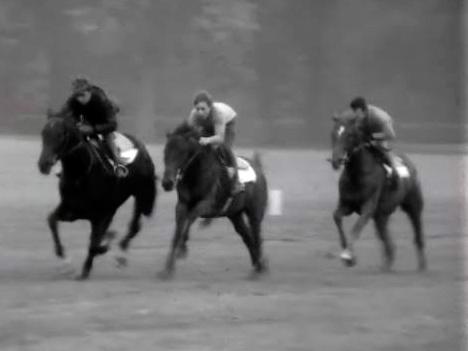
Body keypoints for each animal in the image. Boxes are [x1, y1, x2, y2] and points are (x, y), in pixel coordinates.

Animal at [37, 111, 157, 280]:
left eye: (60, 135)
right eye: (43, 133)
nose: (43, 164)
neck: (80, 174)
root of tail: (143, 148)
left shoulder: (99, 215)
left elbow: (94, 244)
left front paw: (86, 268)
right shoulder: (71, 210)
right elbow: (52, 221)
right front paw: (66, 264)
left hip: (140, 195)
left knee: (134, 226)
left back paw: (120, 255)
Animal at [160, 122, 266, 280]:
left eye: (181, 152)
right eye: (165, 152)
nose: (167, 183)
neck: (197, 174)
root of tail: (258, 168)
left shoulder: (206, 204)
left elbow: (190, 218)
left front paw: (182, 249)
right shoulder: (181, 205)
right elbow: (178, 231)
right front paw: (167, 269)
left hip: (255, 213)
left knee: (256, 235)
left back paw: (259, 268)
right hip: (235, 215)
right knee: (247, 237)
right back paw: (258, 266)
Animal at [330, 110, 428, 272]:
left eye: (349, 135)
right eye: (333, 133)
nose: (336, 160)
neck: (357, 174)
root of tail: (409, 164)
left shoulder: (368, 207)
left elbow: (356, 227)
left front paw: (348, 256)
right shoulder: (347, 205)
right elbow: (337, 217)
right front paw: (348, 256)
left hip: (413, 207)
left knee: (418, 234)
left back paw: (422, 267)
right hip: (381, 216)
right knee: (389, 243)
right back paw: (385, 267)